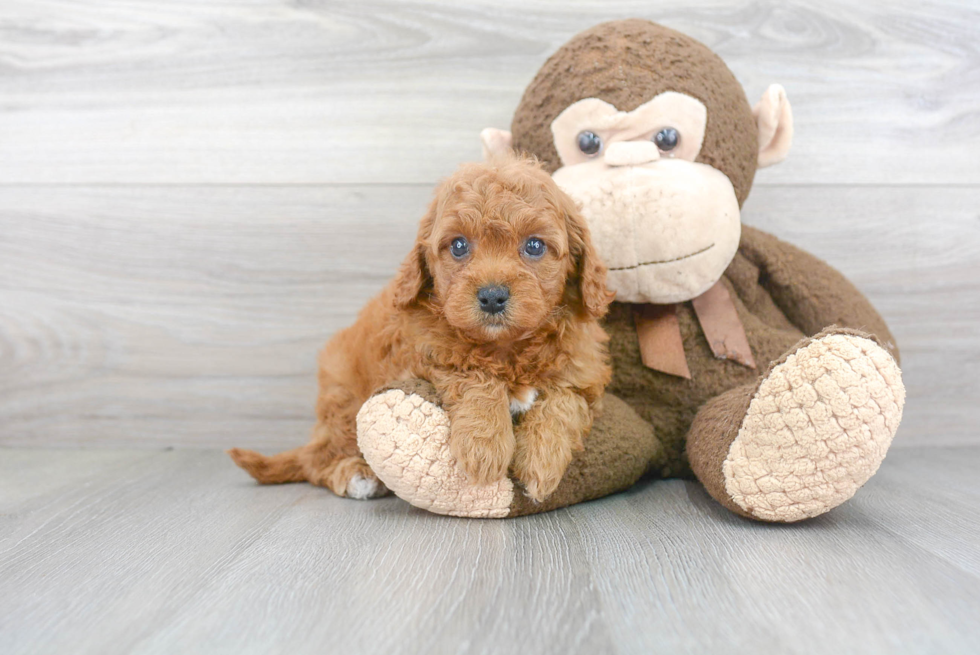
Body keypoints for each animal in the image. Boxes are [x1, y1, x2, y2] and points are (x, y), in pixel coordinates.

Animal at [230, 158, 612, 502]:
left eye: (534, 245)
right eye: (458, 245)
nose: (492, 296)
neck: (505, 348)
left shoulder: (583, 373)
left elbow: (563, 401)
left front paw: (541, 462)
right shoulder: (421, 356)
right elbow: (473, 374)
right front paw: (484, 446)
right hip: (343, 402)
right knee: (318, 459)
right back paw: (355, 474)